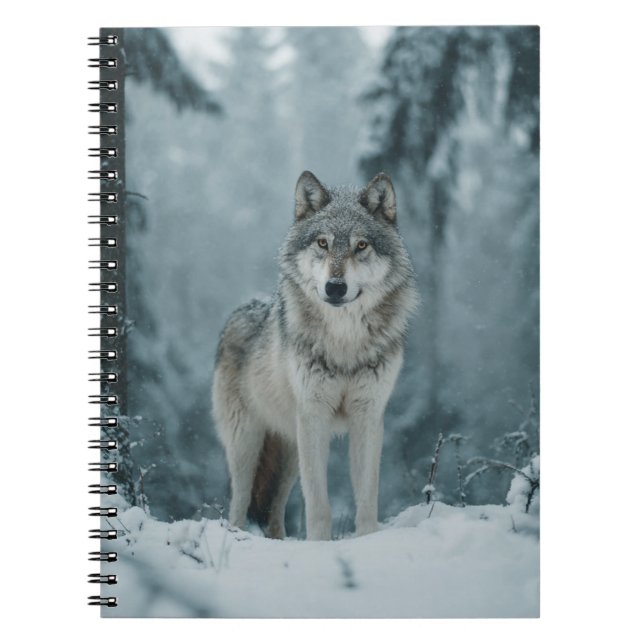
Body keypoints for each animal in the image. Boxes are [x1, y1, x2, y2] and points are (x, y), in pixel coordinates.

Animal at [212, 171, 417, 540]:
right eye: (322, 243)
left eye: (361, 245)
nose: (335, 287)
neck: (344, 341)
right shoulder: (314, 415)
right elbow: (318, 502)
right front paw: (320, 544)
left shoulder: (368, 416)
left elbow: (367, 495)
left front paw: (368, 539)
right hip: (248, 443)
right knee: (239, 503)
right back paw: (238, 536)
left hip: (289, 452)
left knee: (274, 510)